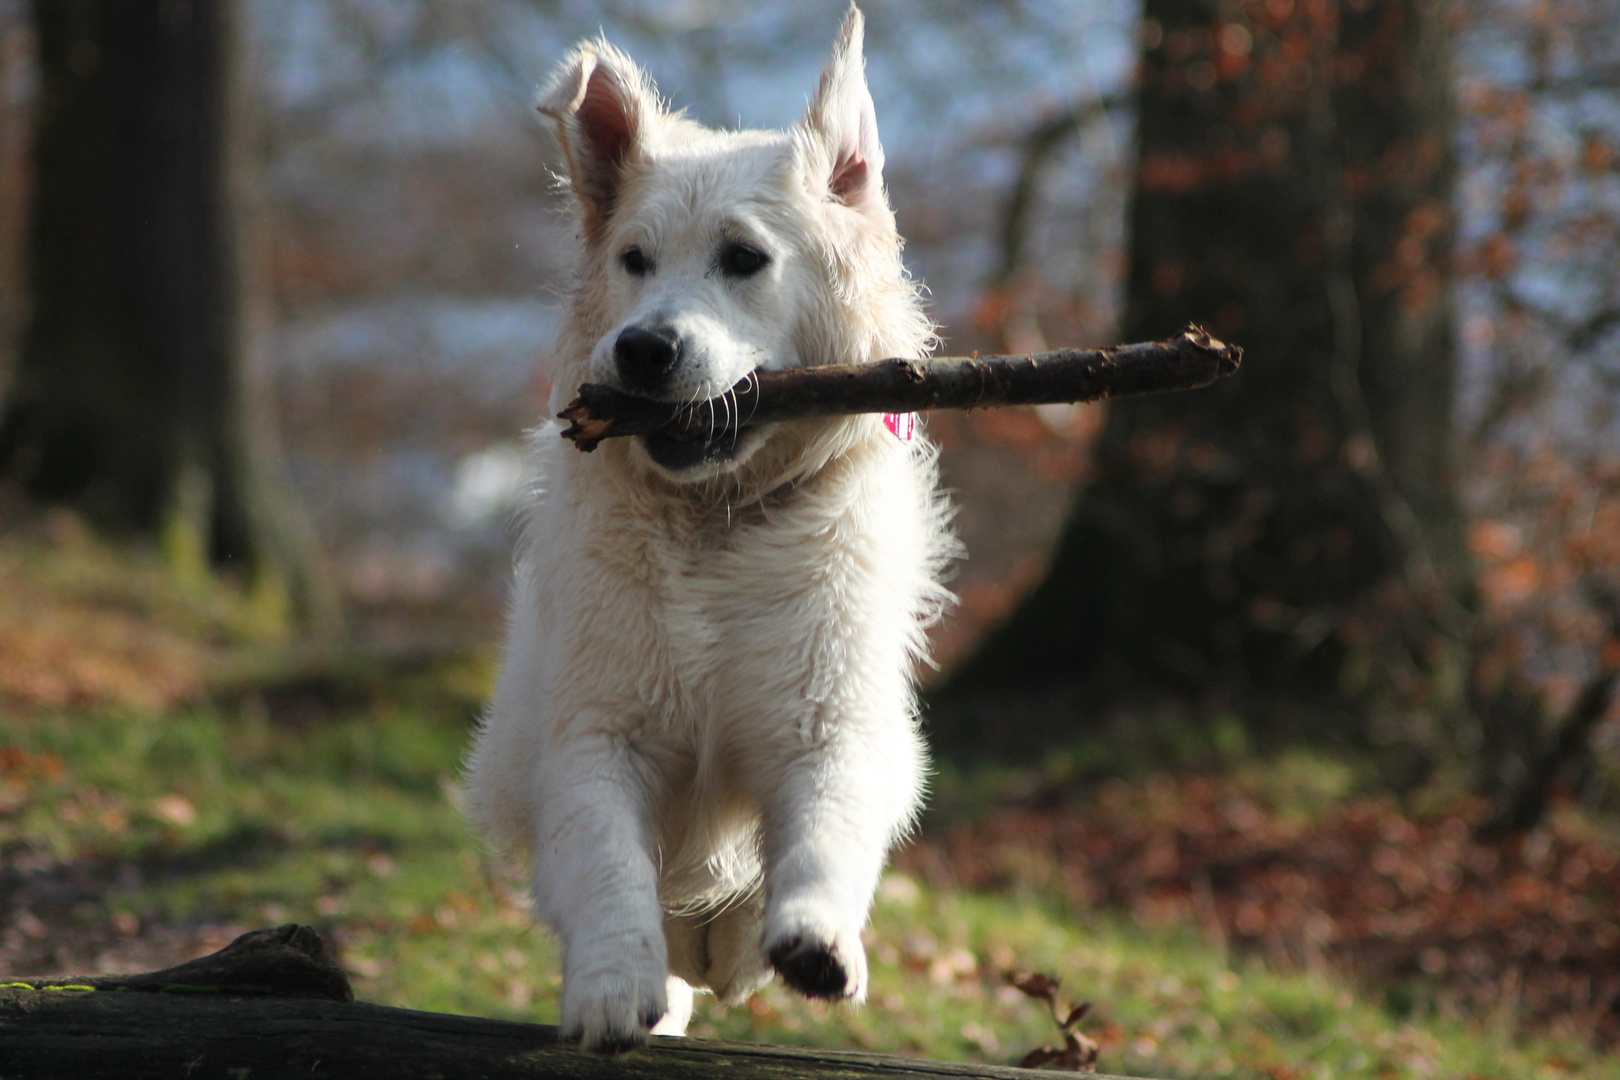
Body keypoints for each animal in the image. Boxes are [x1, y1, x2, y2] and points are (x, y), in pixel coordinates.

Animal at [463, 6, 952, 1055]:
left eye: (743, 259)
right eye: (633, 261)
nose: (643, 349)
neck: (715, 520)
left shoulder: (828, 719)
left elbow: (825, 826)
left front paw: (816, 938)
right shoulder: (595, 731)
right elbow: (608, 863)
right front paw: (613, 988)